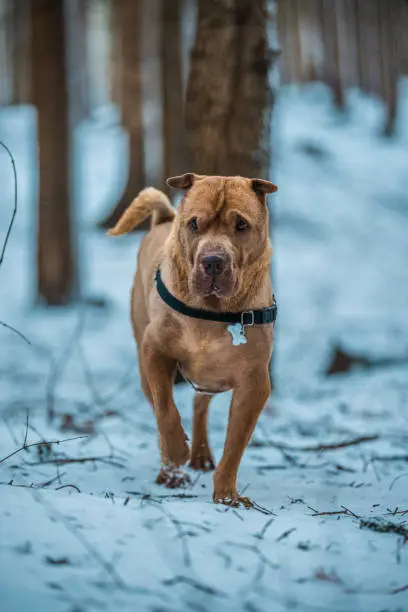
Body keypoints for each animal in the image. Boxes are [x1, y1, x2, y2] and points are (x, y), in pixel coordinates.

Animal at [108, 172, 278, 506]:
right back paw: (171, 472)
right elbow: (165, 408)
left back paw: (200, 454)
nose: (212, 261)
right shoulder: (154, 351)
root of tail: (164, 219)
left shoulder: (254, 383)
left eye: (241, 225)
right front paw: (176, 452)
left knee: (201, 403)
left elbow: (235, 444)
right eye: (195, 223)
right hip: (143, 358)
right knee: (160, 406)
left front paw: (227, 495)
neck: (211, 313)